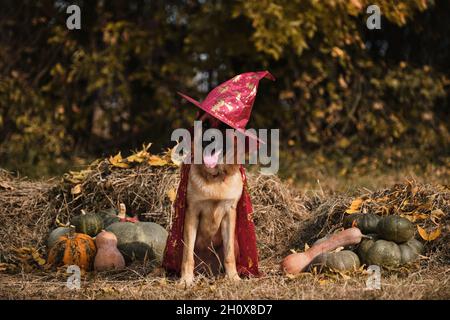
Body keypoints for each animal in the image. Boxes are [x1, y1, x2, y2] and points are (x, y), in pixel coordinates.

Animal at [178, 112, 244, 284]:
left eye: (224, 126)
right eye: (206, 124)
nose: (209, 140)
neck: (215, 177)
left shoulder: (229, 214)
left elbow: (229, 255)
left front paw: (233, 277)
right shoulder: (192, 214)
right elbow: (187, 256)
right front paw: (186, 280)